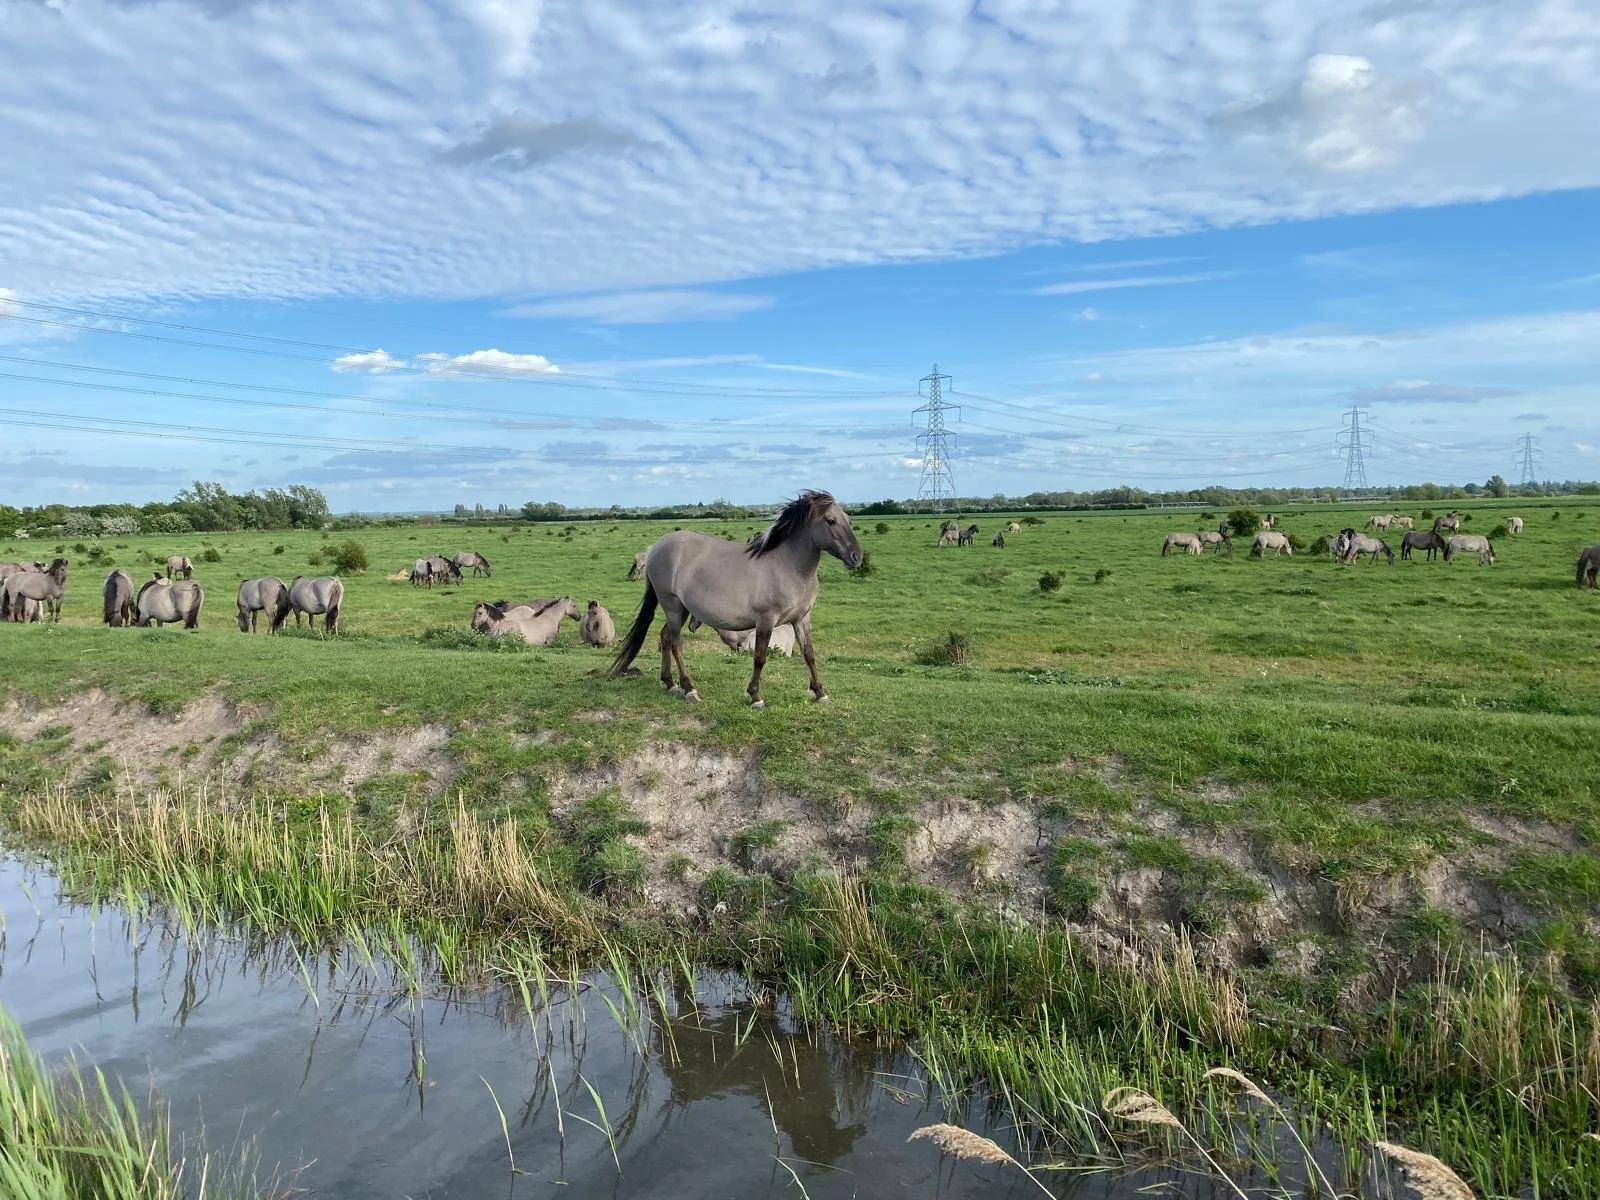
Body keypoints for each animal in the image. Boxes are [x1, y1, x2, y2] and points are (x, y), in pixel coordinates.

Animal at [610, 489, 862, 707]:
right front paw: (756, 697)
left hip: (681, 609)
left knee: (664, 638)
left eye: (847, 518)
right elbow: (760, 657)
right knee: (675, 642)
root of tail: (655, 548)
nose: (856, 557)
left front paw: (820, 693)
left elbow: (809, 655)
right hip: (671, 605)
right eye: (830, 521)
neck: (787, 566)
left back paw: (670, 684)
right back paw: (689, 689)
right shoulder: (766, 620)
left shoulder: (801, 619)